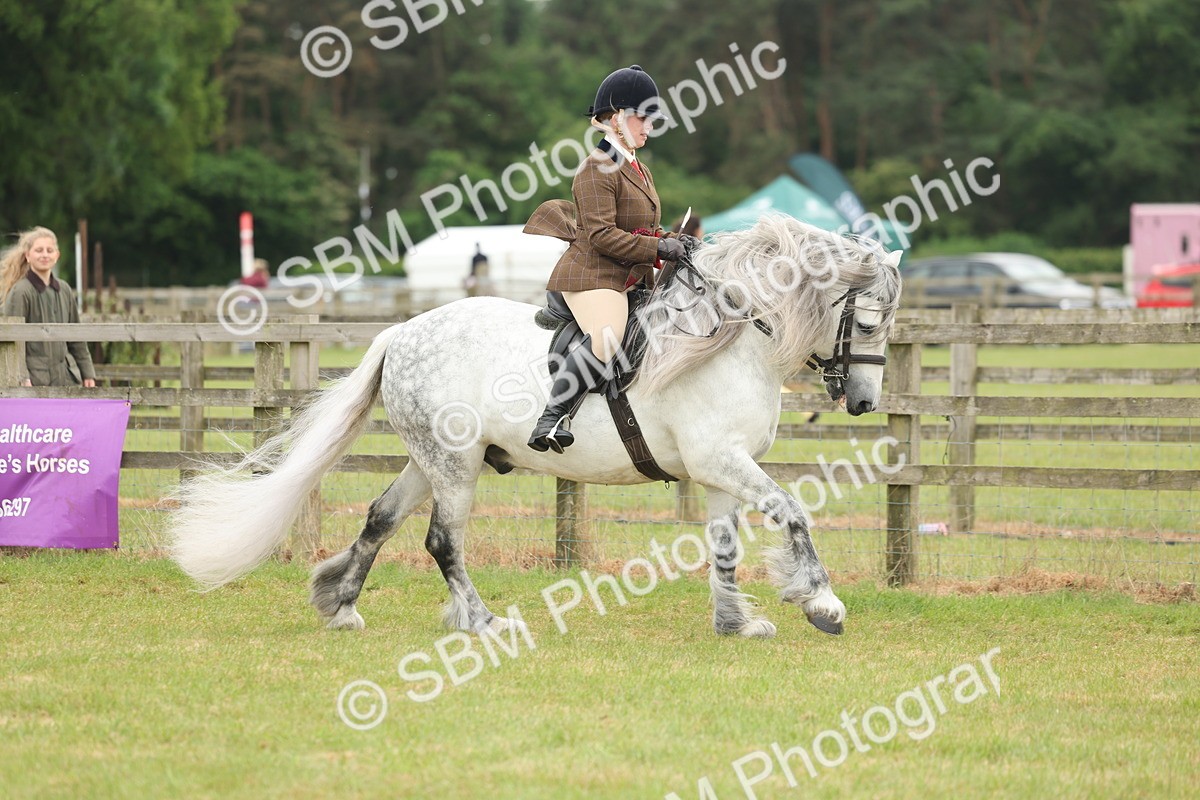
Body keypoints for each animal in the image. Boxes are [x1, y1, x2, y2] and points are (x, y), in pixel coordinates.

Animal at [169, 215, 902, 639]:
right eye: (868, 322)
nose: (864, 403)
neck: (731, 339)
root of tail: (400, 333)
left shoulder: (722, 470)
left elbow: (724, 546)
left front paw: (735, 621)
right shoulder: (720, 460)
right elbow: (796, 511)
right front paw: (822, 603)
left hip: (435, 459)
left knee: (381, 517)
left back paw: (341, 603)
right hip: (455, 468)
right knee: (441, 541)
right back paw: (481, 620)